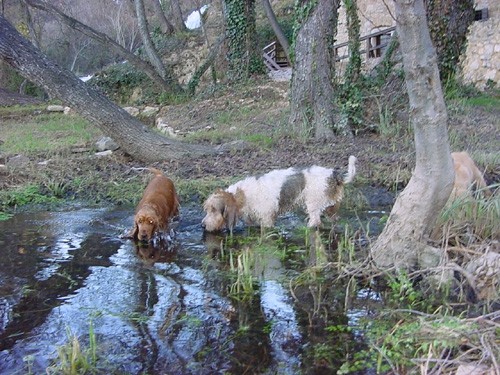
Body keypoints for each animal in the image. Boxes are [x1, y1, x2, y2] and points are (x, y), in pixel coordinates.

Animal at [201, 155, 358, 232]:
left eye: (214, 209)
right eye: (206, 209)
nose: (202, 226)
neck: (242, 195)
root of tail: (333, 174)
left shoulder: (267, 220)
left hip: (314, 204)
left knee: (315, 222)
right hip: (331, 207)